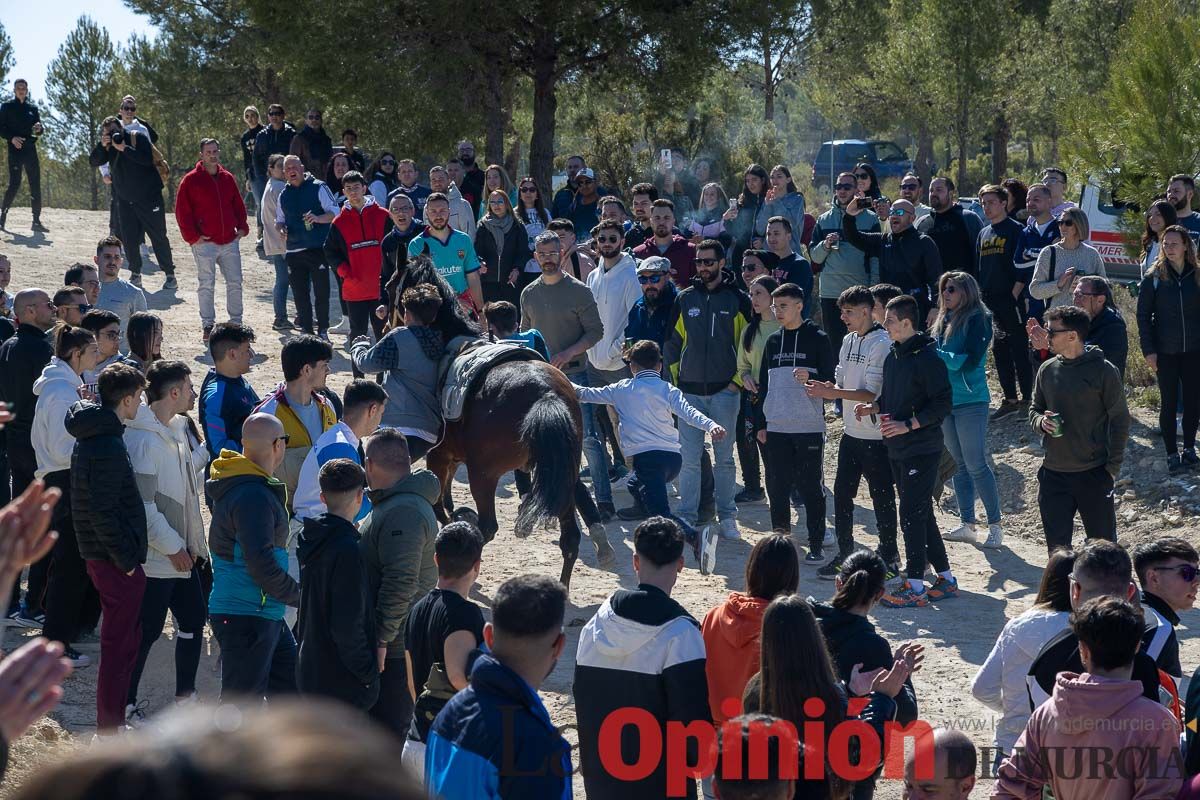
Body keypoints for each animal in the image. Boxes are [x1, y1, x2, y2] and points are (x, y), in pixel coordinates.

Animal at [427, 359, 614, 592]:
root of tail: (545, 392)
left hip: (482, 474)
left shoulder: (438, 455)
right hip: (563, 478)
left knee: (488, 527)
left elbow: (436, 499)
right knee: (570, 539)